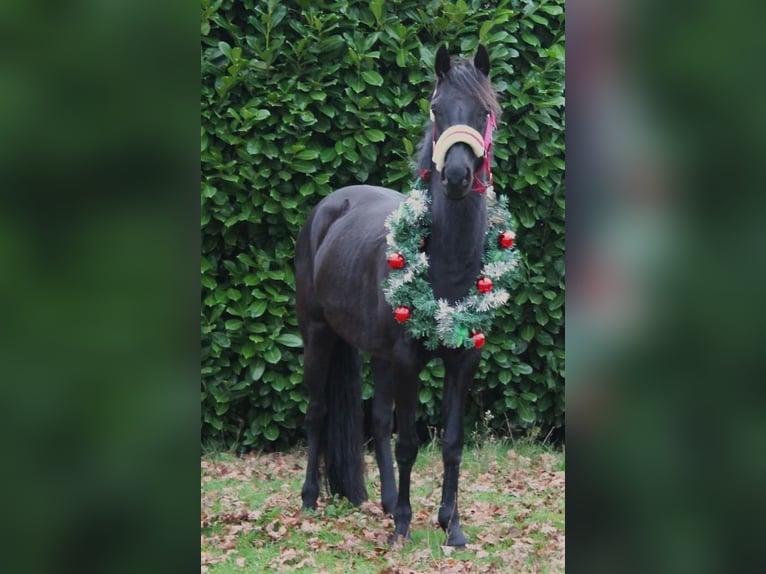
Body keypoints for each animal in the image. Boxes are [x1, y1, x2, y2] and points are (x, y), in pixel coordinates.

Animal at [294, 45, 504, 548]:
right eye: (436, 108)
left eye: (485, 111)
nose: (456, 177)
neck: (447, 262)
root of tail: (328, 207)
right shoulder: (409, 360)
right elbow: (410, 442)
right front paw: (405, 527)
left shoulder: (463, 360)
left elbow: (451, 442)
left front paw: (452, 525)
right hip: (317, 333)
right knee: (318, 412)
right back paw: (311, 499)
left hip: (378, 354)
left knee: (377, 420)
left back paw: (388, 502)